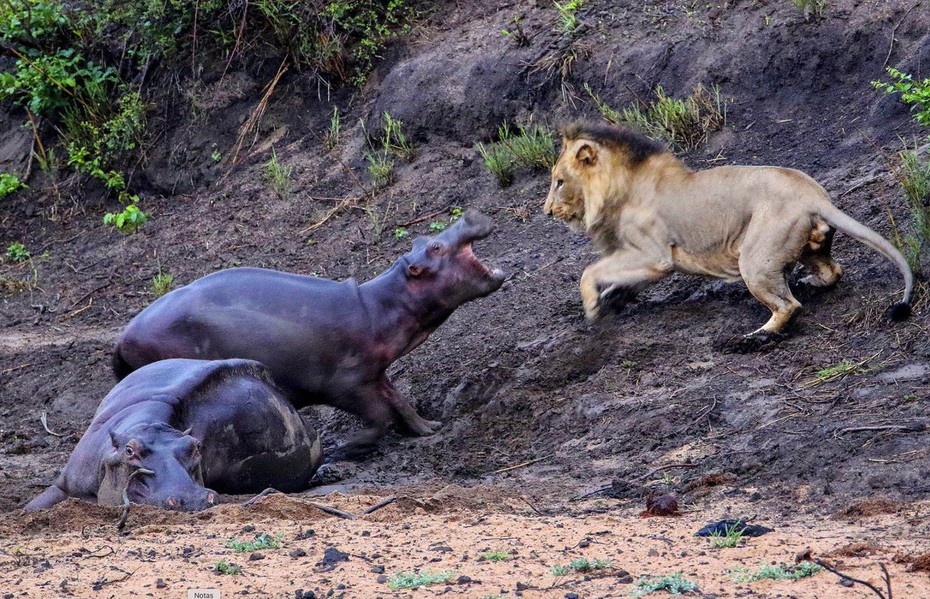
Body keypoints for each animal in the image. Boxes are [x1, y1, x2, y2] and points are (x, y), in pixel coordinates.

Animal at [112, 209, 504, 458]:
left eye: (426, 238)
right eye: (436, 247)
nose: (468, 216)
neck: (380, 304)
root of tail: (122, 335)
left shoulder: (375, 373)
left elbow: (399, 400)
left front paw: (429, 427)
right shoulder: (346, 382)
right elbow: (379, 415)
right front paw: (345, 448)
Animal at [544, 122, 912, 344]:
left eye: (559, 181)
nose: (547, 211)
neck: (617, 191)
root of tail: (814, 196)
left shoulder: (654, 255)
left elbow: (591, 271)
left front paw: (592, 307)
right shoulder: (645, 261)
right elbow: (619, 280)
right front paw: (610, 300)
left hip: (755, 259)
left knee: (789, 306)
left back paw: (754, 338)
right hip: (808, 246)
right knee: (833, 270)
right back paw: (811, 283)